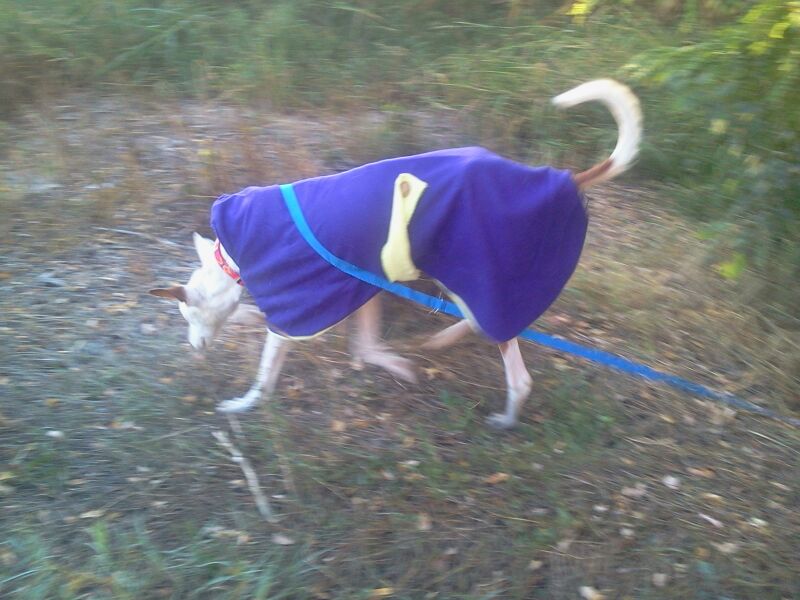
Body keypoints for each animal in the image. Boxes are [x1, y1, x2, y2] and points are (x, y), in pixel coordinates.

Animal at [150, 79, 641, 429]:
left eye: (187, 314)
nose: (193, 347)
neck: (232, 256)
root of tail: (564, 178)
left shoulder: (300, 310)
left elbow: (265, 373)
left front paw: (242, 404)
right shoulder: (363, 288)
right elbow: (363, 346)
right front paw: (392, 363)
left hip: (479, 272)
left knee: (517, 374)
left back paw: (504, 414)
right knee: (481, 322)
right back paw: (441, 341)